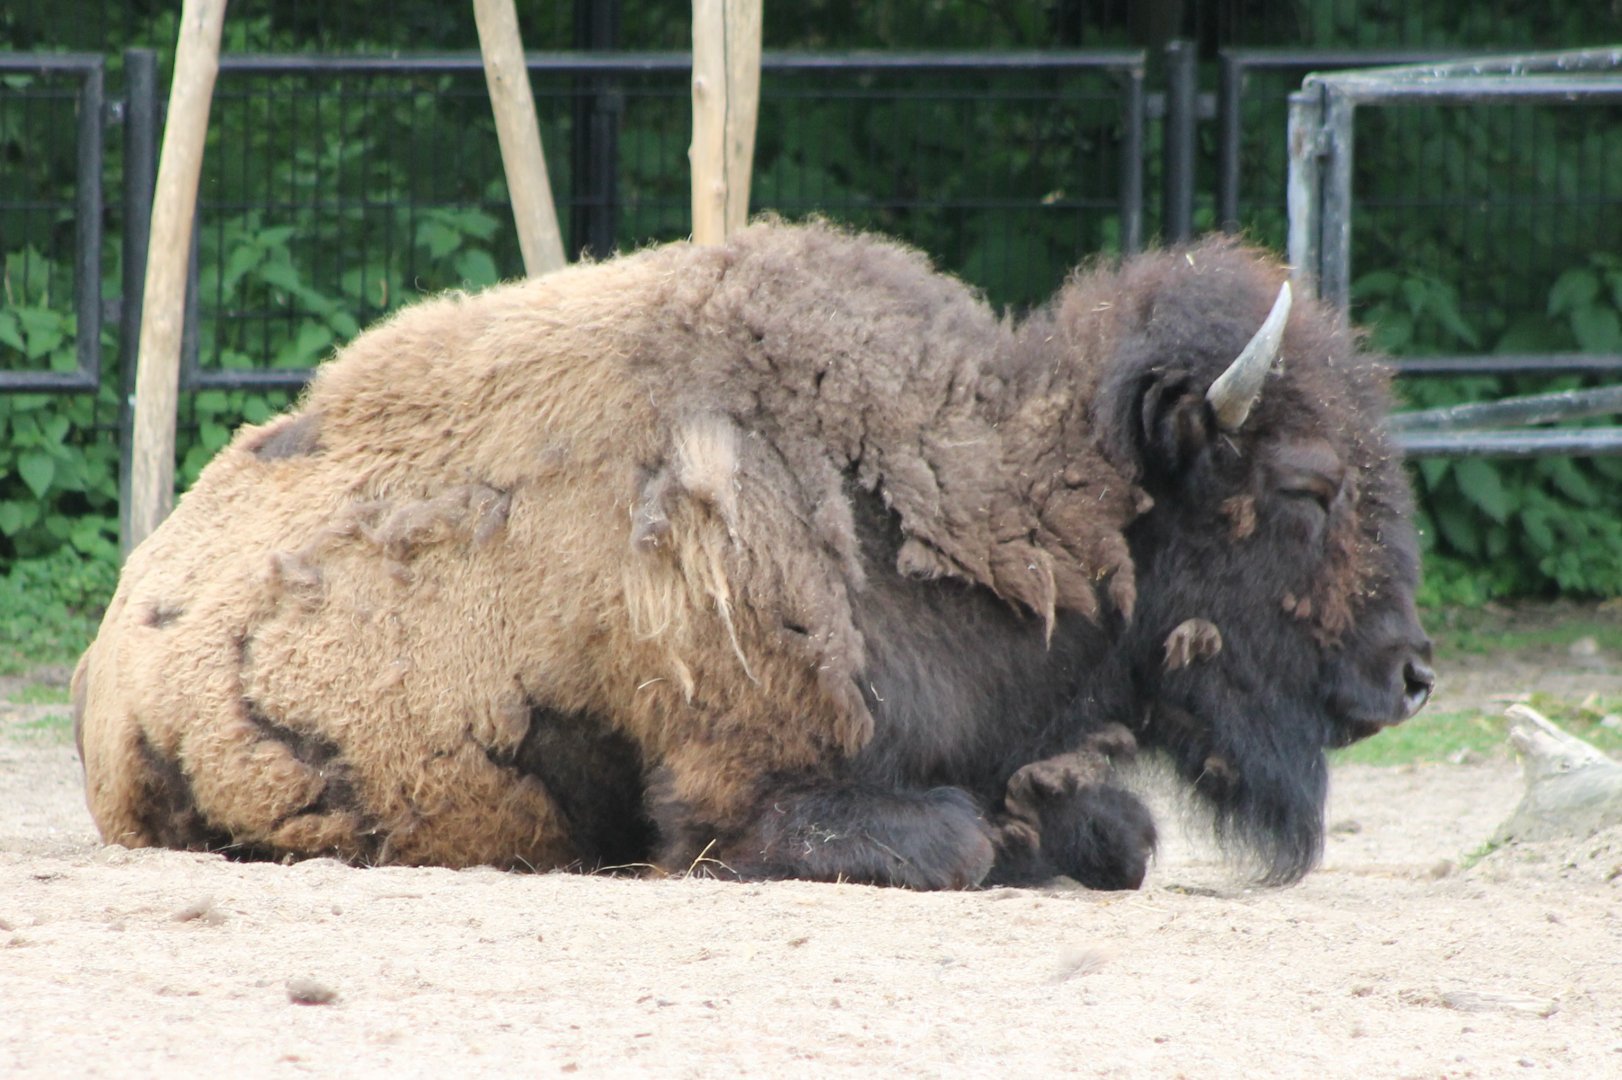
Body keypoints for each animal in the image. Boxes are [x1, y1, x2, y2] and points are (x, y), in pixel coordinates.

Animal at [74, 220, 1432, 890]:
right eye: (1307, 487)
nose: (1410, 674)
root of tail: (107, 651)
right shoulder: (742, 798)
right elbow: (948, 841)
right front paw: (999, 847)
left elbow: (1122, 835)